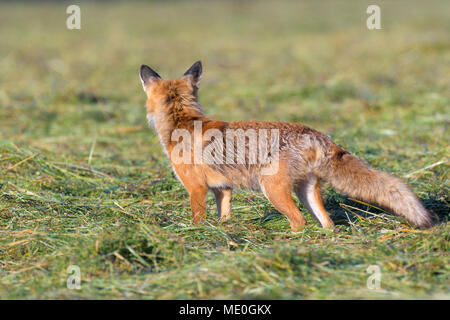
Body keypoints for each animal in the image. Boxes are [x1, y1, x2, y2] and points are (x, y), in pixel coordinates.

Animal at [140, 60, 432, 230]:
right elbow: (224, 216)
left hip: (273, 190)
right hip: (306, 191)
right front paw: (222, 233)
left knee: (299, 220)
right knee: (327, 223)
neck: (182, 121)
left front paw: (197, 234)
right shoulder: (223, 189)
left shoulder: (196, 189)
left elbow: (197, 219)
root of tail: (315, 133)